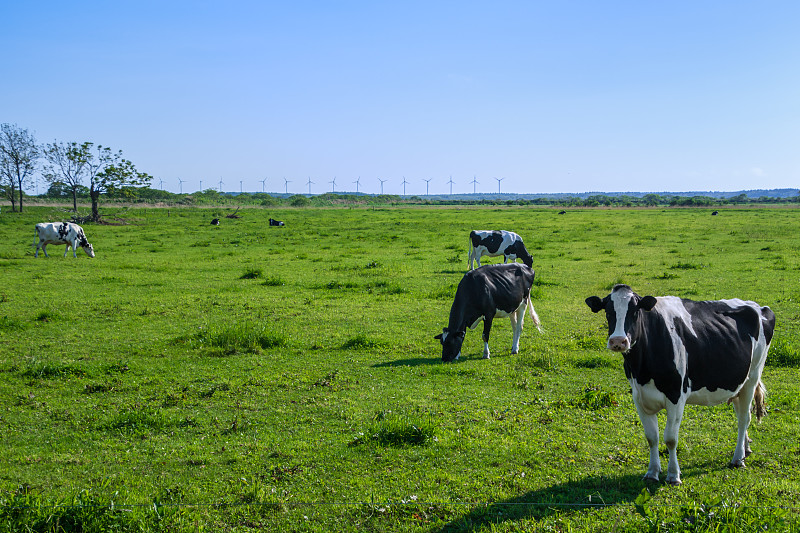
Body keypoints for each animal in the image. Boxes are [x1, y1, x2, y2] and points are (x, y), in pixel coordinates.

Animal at [588, 284, 776, 484]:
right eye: (608, 311)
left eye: (635, 312)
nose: (618, 341)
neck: (643, 369)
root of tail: (758, 306)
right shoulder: (639, 397)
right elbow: (651, 438)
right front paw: (652, 472)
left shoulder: (676, 396)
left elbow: (670, 439)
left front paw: (673, 475)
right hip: (737, 383)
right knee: (742, 412)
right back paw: (746, 448)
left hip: (753, 376)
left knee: (744, 419)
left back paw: (738, 458)